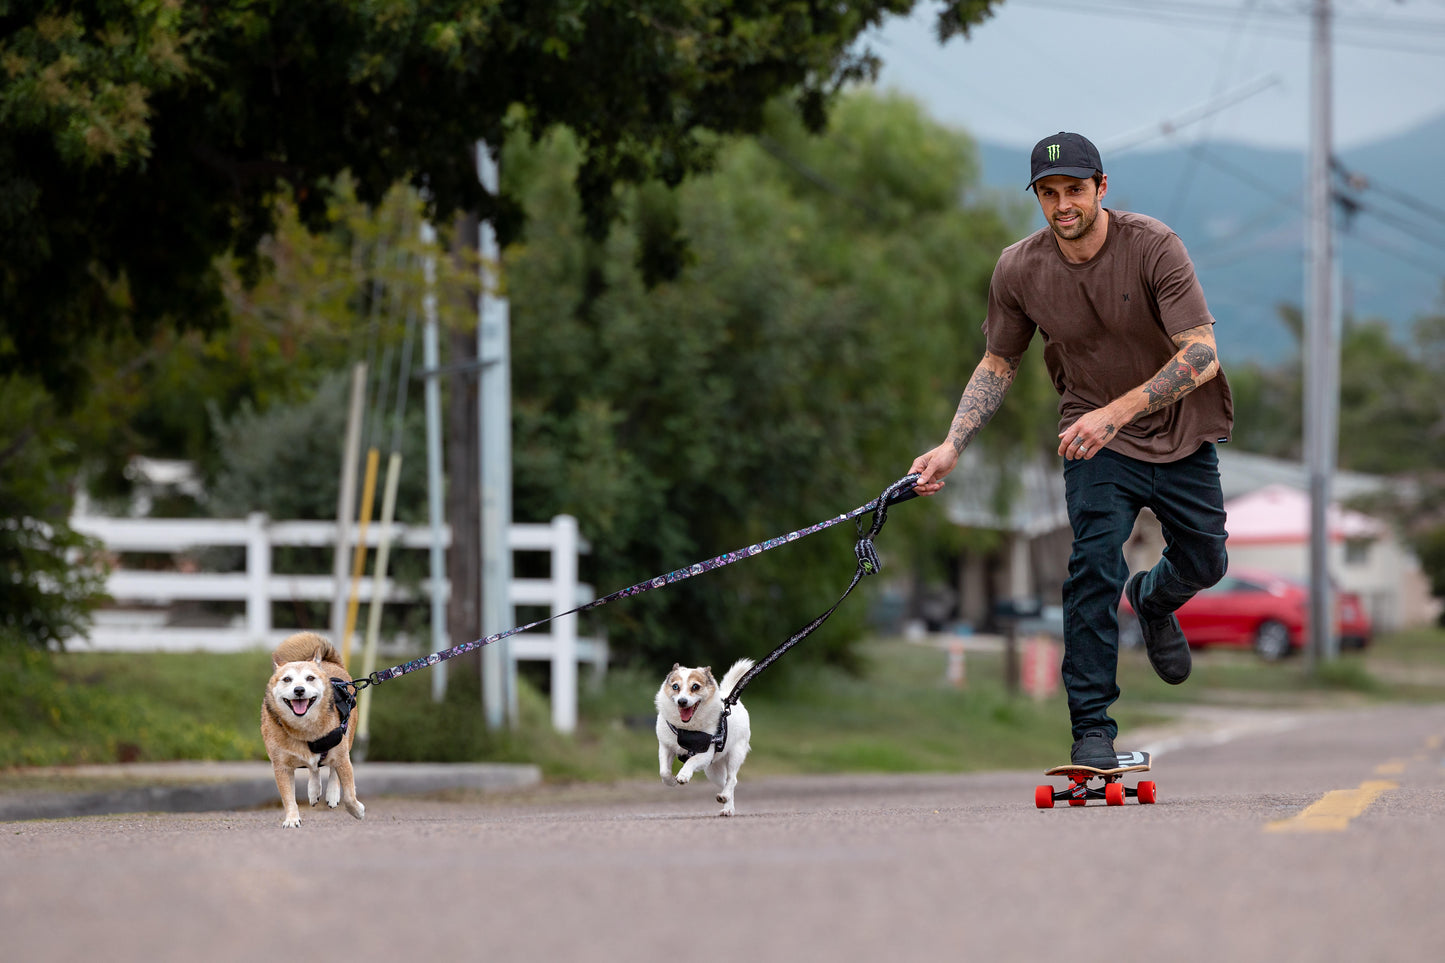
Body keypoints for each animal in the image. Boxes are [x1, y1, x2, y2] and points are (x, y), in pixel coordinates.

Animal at [264, 630, 369, 827]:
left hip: (347, 737)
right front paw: (292, 819)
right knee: (314, 767)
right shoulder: (281, 766)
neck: (304, 728)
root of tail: (329, 662)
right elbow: (288, 798)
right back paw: (313, 791)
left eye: (310, 678)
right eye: (287, 679)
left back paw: (332, 794)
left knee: (333, 768)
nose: (299, 690)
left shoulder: (342, 756)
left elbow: (349, 795)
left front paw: (357, 810)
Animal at [653, 656, 751, 815]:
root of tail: (729, 696)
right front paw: (671, 781)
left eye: (695, 687)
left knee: (732, 779)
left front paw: (683, 775)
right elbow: (664, 771)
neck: (686, 729)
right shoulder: (665, 748)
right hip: (712, 771)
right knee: (725, 782)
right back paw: (727, 806)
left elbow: (691, 761)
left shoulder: (705, 753)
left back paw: (725, 798)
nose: (682, 701)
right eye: (675, 687)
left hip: (736, 754)